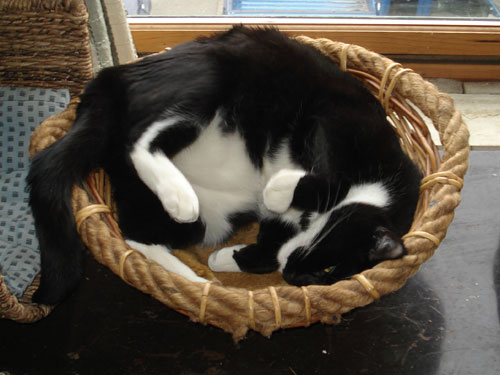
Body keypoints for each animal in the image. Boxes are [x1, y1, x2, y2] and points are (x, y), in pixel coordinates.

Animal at [27, 27, 422, 306]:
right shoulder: (336, 121)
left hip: (204, 216)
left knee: (136, 232)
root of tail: (111, 80)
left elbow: (268, 252)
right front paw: (279, 192)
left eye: (327, 274)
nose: (293, 273)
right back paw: (181, 202)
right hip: (209, 78)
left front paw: (228, 259)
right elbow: (323, 179)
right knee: (142, 137)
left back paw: (192, 278)